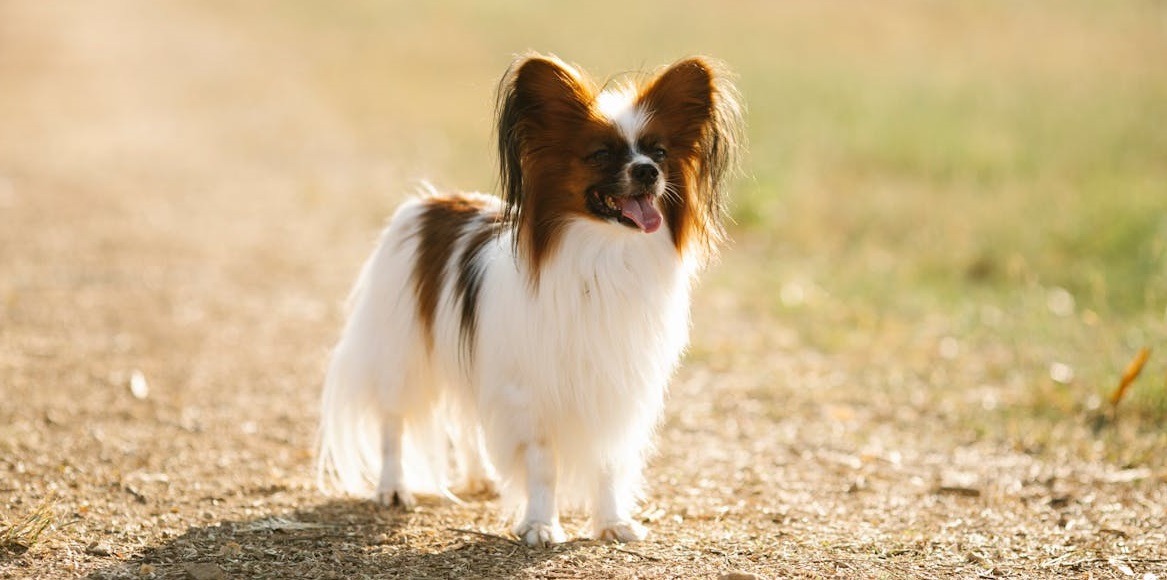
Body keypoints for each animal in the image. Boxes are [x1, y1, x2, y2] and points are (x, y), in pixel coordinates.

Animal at [315, 51, 742, 543]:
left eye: (659, 153)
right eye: (601, 154)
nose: (648, 172)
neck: (604, 254)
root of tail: (432, 202)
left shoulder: (615, 388)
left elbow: (608, 463)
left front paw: (612, 522)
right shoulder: (530, 392)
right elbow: (543, 466)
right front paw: (540, 524)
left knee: (466, 418)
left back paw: (479, 477)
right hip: (401, 353)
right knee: (393, 422)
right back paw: (393, 487)